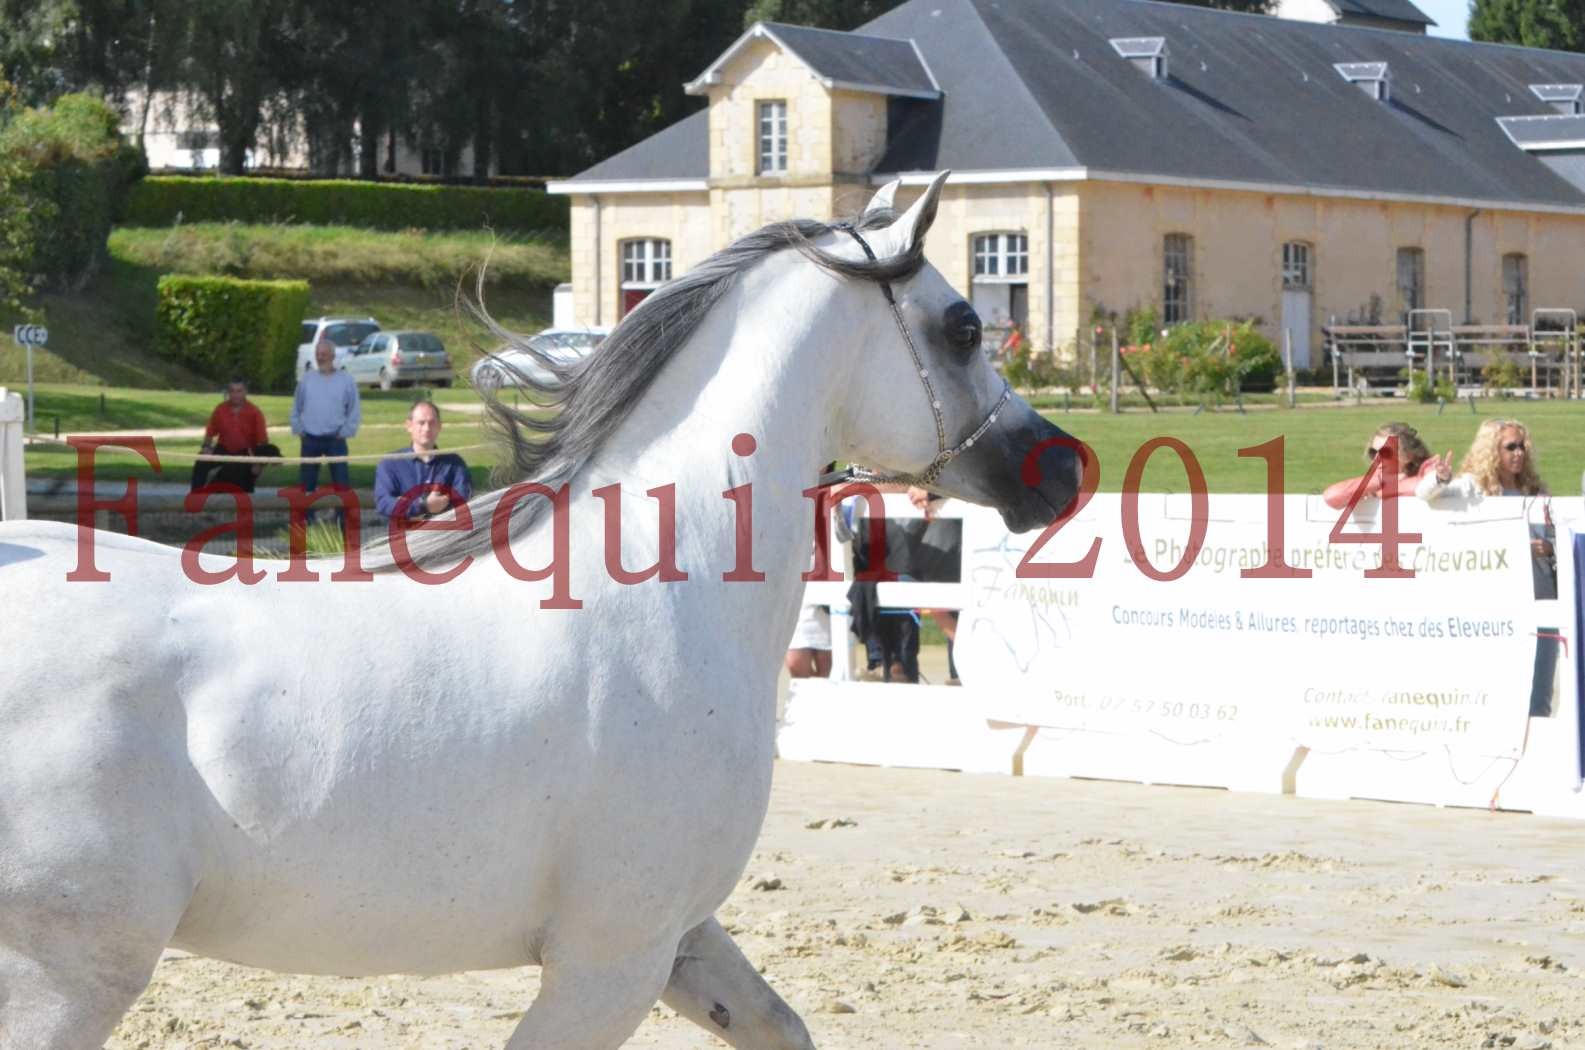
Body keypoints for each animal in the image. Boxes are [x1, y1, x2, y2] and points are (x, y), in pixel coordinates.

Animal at [0, 174, 1077, 1050]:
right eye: (963, 326)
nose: (1060, 469)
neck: (659, 590)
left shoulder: (680, 937)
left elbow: (780, 1026)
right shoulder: (612, 958)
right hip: (67, 978)